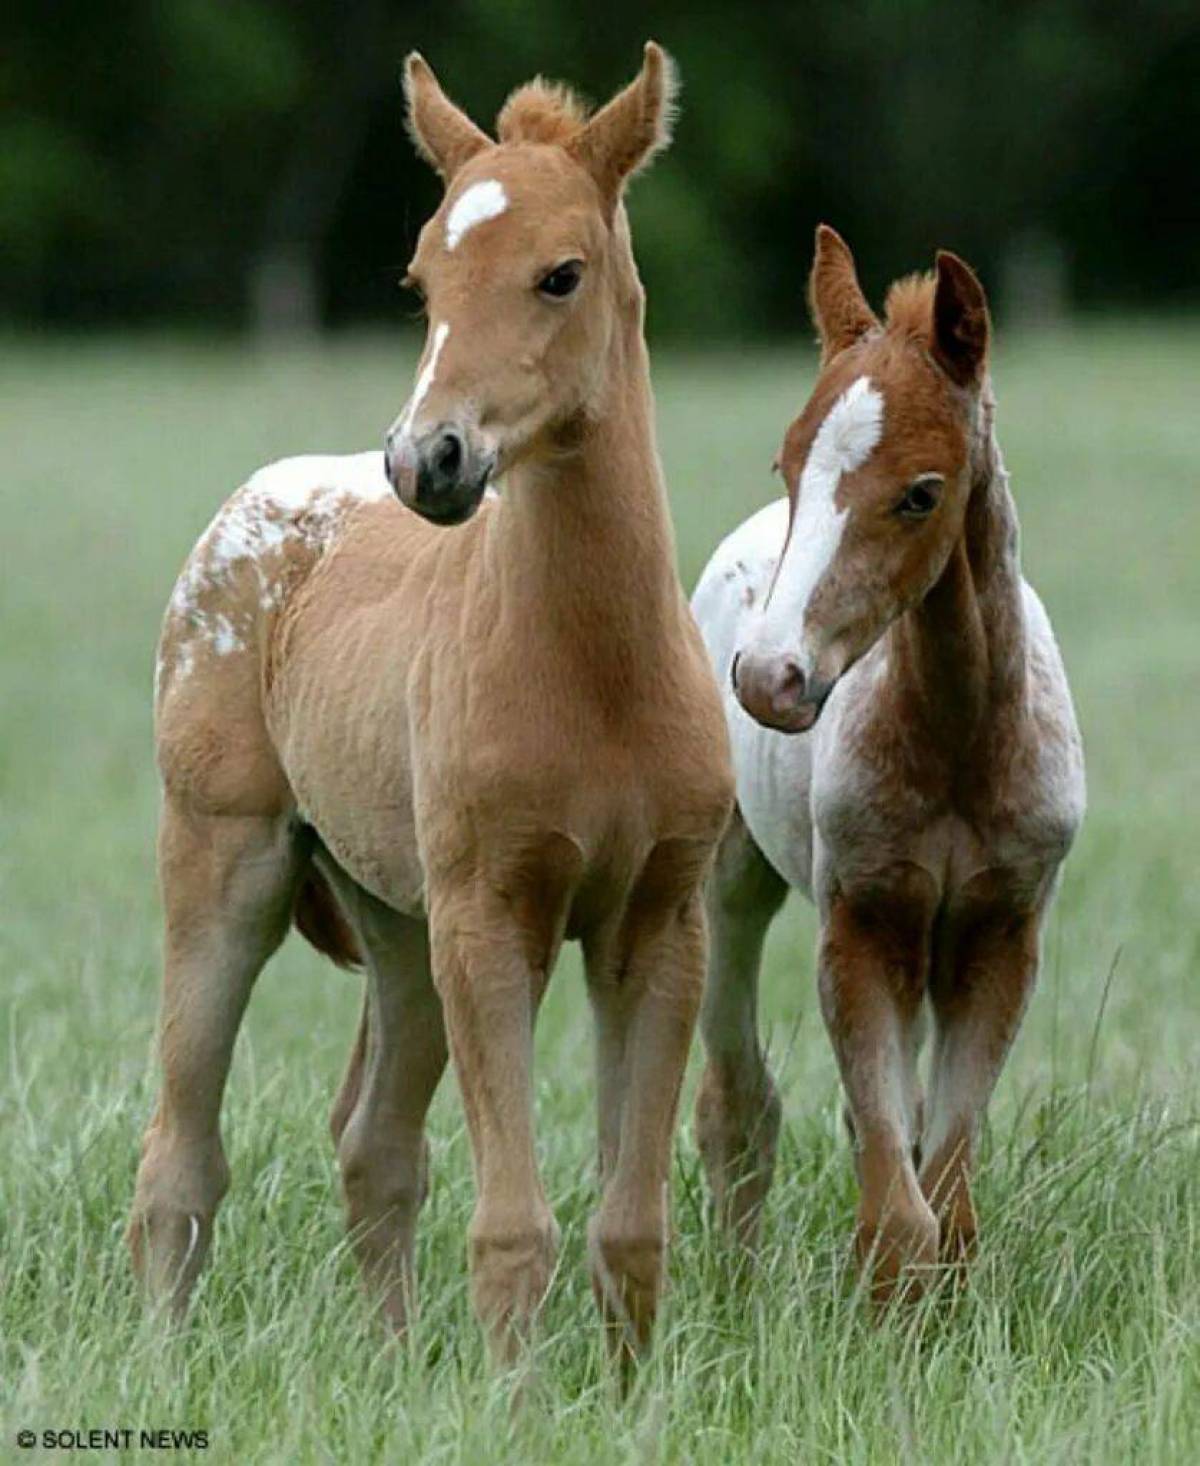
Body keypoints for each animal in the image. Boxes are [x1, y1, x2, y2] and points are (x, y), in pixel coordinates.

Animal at [128, 48, 732, 1372]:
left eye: (561, 273)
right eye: (421, 277)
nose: (427, 461)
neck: (596, 671)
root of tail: (253, 499)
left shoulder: (658, 922)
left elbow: (631, 1228)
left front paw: (632, 1397)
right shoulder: (488, 912)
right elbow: (514, 1227)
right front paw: (513, 1400)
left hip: (393, 918)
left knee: (374, 1145)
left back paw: (395, 1365)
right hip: (229, 859)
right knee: (178, 1155)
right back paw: (163, 1357)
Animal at [688, 225, 1084, 1295]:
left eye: (920, 494)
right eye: (786, 465)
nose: (770, 677)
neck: (957, 744)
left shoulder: (1000, 936)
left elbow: (945, 1194)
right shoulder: (862, 923)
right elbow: (899, 1207)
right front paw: (881, 1304)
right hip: (729, 877)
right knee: (737, 1102)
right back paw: (734, 1281)